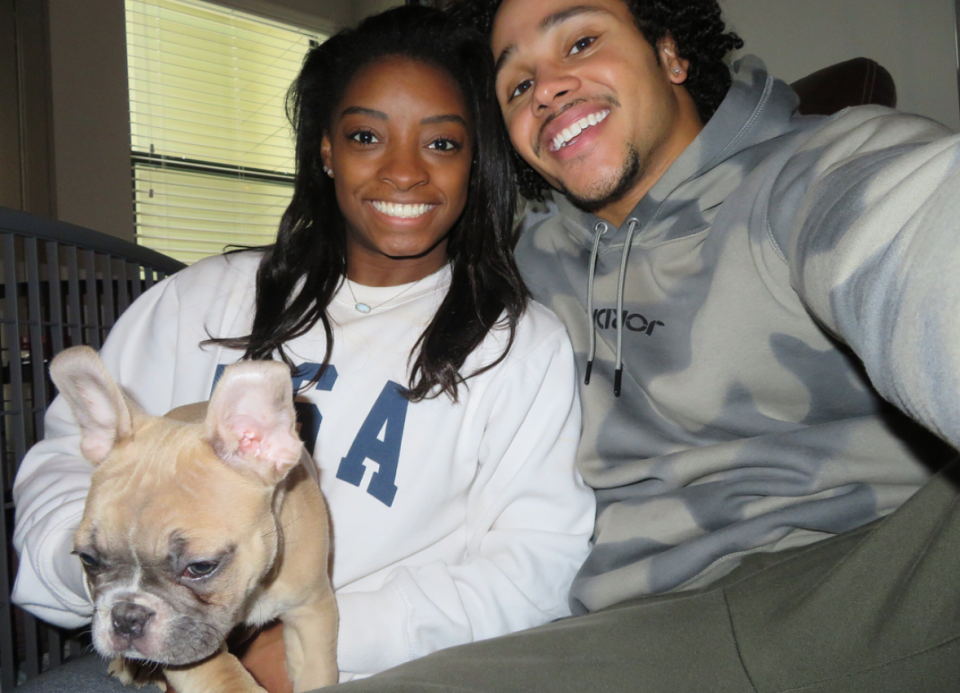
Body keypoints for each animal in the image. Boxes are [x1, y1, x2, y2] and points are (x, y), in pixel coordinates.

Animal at [51, 346, 342, 692]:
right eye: (88, 560)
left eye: (201, 567)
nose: (127, 616)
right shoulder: (189, 641)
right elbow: (224, 676)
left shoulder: (311, 611)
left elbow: (316, 672)